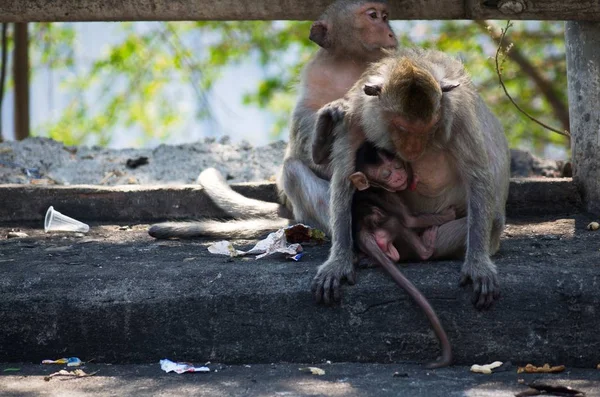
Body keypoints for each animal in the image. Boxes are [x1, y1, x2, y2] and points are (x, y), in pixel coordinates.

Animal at [147, 0, 396, 238]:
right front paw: (323, 130)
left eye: (385, 16)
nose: (391, 33)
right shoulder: (316, 72)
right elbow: (303, 120)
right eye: (373, 16)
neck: (351, 59)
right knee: (293, 170)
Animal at [310, 48, 510, 310]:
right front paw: (339, 261)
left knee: (487, 221)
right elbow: (344, 178)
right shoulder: (355, 116)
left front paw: (478, 266)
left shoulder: (459, 115)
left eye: (429, 127)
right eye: (402, 127)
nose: (413, 150)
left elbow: (477, 177)